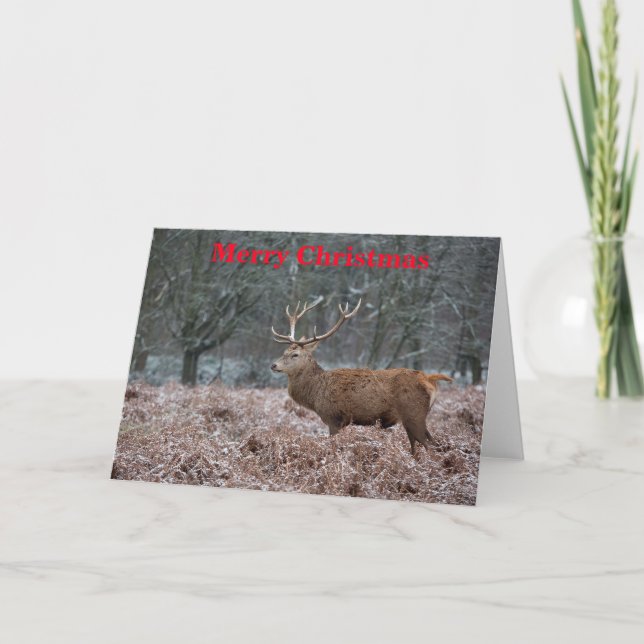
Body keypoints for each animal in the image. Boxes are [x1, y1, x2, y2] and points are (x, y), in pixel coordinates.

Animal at [270, 298, 453, 455]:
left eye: (295, 354)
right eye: (284, 351)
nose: (273, 365)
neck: (315, 395)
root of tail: (429, 379)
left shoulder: (334, 418)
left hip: (414, 413)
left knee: (430, 446)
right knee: (425, 445)